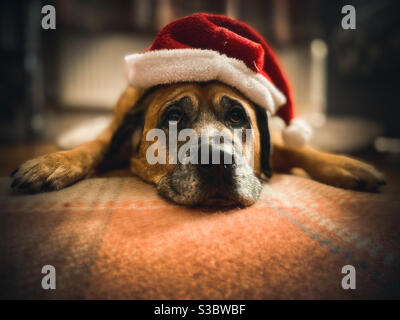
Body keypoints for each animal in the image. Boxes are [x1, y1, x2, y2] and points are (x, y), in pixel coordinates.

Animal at [9, 81, 384, 206]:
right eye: (173, 116)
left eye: (237, 116)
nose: (217, 161)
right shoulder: (110, 133)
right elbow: (94, 147)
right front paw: (51, 163)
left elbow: (299, 149)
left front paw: (349, 166)